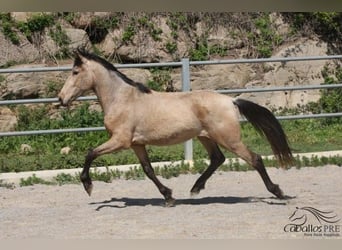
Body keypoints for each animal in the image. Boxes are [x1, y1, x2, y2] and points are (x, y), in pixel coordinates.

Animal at [57, 49, 292, 207]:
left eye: (75, 71)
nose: (61, 99)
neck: (122, 99)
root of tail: (231, 100)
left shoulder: (120, 141)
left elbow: (90, 153)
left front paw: (88, 185)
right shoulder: (136, 144)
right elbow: (148, 170)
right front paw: (168, 196)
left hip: (229, 139)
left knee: (255, 159)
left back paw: (278, 192)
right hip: (206, 137)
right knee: (218, 159)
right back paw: (195, 189)